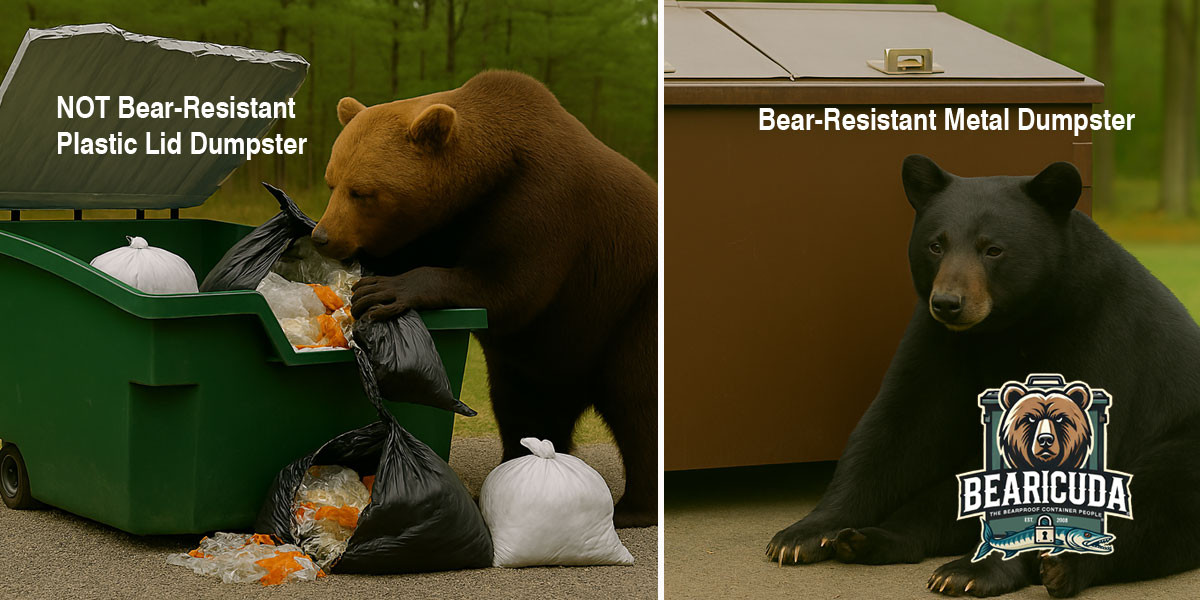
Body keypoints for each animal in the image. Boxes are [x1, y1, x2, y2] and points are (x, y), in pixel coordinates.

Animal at [310, 71, 658, 528]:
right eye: (332, 181)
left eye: (363, 192)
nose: (323, 235)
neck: (484, 182)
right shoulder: (443, 227)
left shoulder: (543, 204)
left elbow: (512, 286)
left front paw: (383, 289)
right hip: (546, 354)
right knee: (522, 402)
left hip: (629, 310)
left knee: (636, 402)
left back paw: (634, 507)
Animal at [766, 155, 1200, 597]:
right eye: (936, 244)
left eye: (993, 249)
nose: (948, 302)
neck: (1006, 329)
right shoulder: (939, 342)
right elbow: (898, 428)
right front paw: (802, 534)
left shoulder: (1098, 336)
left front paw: (983, 570)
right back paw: (869, 540)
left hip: (1181, 445)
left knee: (1156, 505)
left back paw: (1050, 567)